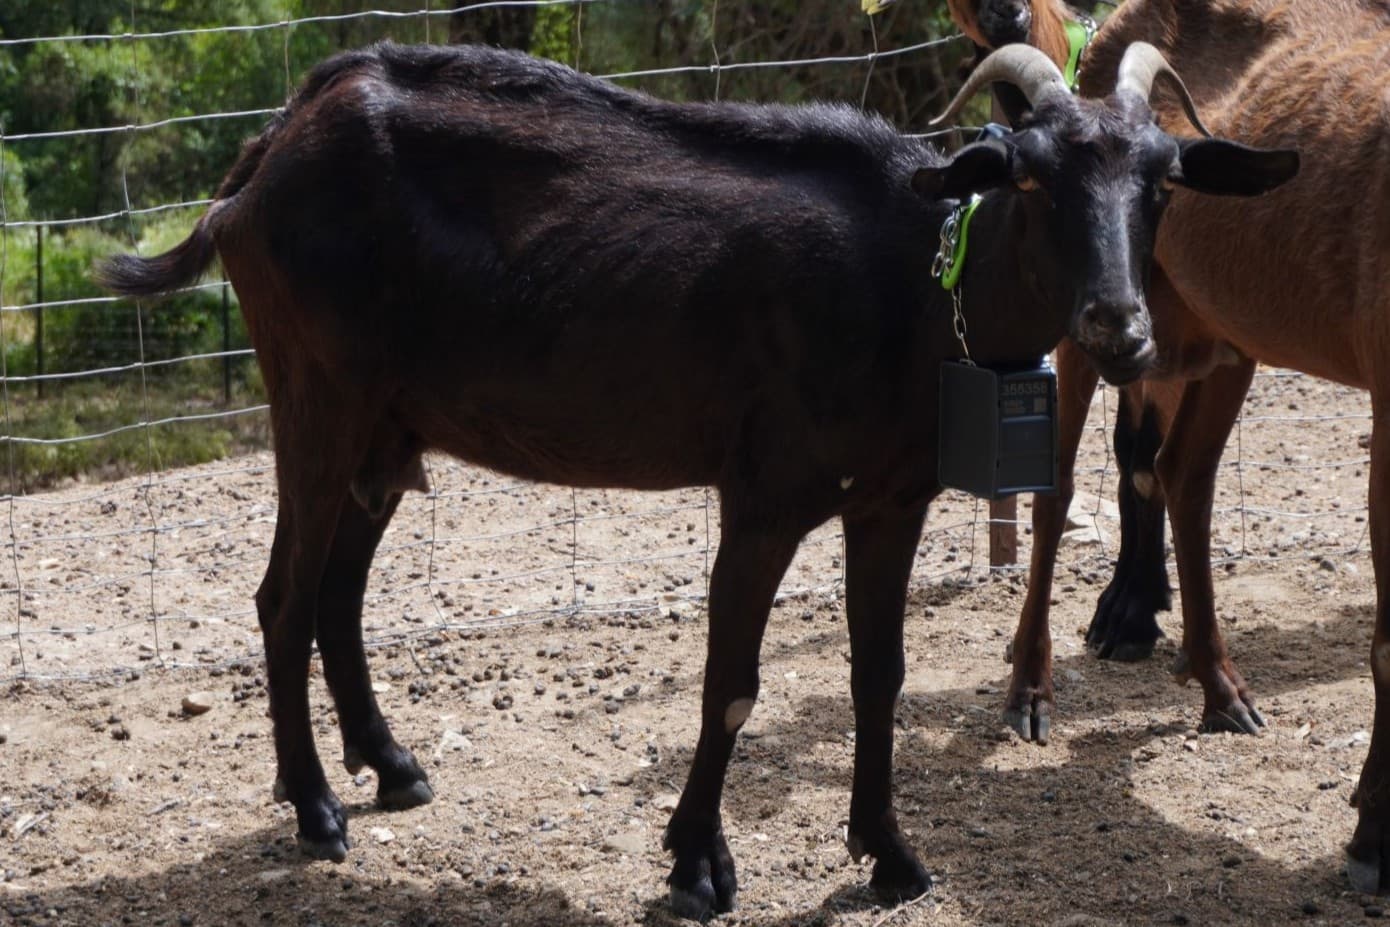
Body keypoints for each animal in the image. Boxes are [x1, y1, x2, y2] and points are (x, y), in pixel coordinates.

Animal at [95, 40, 1294, 917]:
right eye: (1035, 177)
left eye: (1162, 184)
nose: (1118, 328)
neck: (914, 285)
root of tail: (266, 154)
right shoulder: (762, 495)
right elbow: (732, 683)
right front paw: (698, 866)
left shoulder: (889, 498)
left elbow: (879, 674)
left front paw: (891, 856)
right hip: (316, 394)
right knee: (283, 596)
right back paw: (314, 812)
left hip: (387, 428)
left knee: (338, 592)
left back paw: (390, 766)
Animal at [955, 0, 1390, 895]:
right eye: (1039, 181)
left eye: (1166, 183)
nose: (1120, 324)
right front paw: (1373, 838)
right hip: (1091, 342)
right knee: (1059, 496)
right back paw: (1032, 685)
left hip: (1221, 340)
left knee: (1184, 477)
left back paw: (1218, 685)